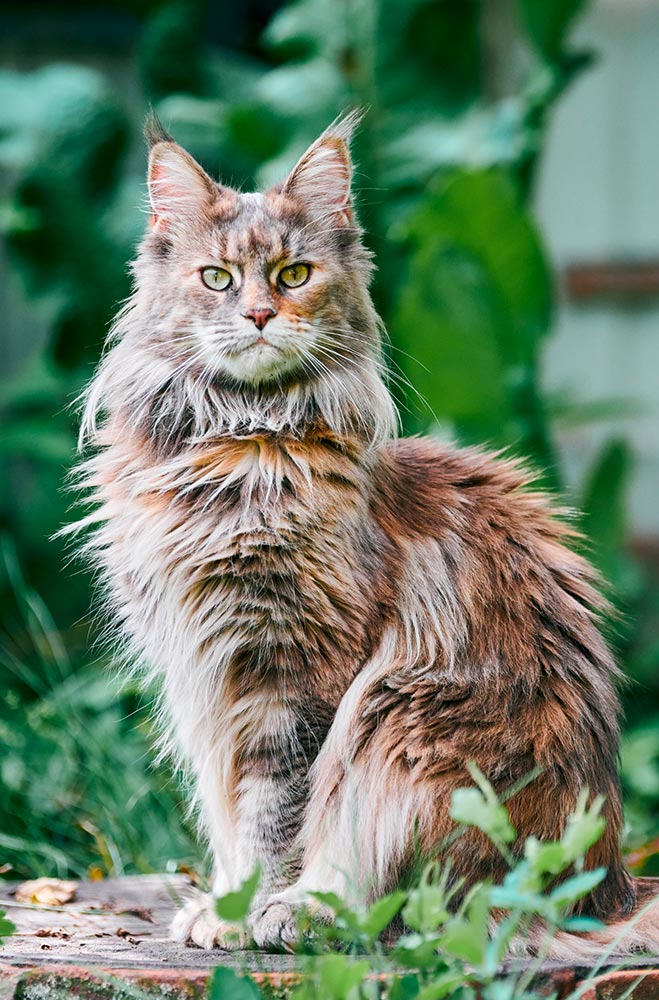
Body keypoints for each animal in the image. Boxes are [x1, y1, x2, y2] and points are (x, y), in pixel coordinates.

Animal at [72, 111, 659, 960]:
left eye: (293, 276)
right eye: (217, 279)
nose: (259, 316)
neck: (240, 445)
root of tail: (596, 895)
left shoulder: (291, 675)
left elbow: (273, 818)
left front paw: (247, 914)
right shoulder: (204, 678)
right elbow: (229, 814)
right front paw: (221, 905)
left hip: (400, 720)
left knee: (421, 915)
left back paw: (306, 915)